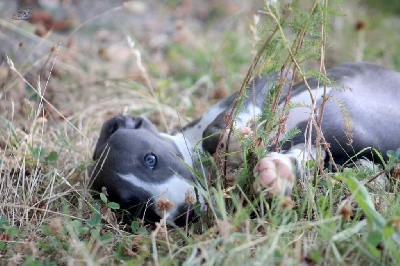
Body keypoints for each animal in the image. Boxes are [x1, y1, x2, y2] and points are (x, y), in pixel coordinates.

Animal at [90, 62, 400, 227]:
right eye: (136, 207)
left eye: (150, 159)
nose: (185, 214)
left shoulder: (267, 84)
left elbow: (218, 131)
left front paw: (237, 141)